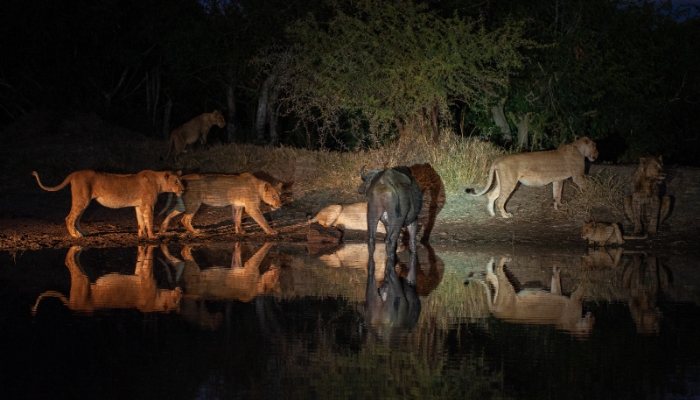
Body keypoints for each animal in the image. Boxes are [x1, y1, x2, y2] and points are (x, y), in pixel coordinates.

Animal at [31, 168, 185, 238]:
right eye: (176, 182)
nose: (183, 189)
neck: (158, 182)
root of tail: (74, 173)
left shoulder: (139, 205)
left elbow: (141, 222)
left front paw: (141, 235)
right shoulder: (148, 205)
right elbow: (150, 221)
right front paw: (152, 237)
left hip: (84, 201)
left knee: (77, 218)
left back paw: (82, 232)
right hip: (82, 200)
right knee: (69, 217)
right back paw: (75, 235)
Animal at [31, 245, 182, 314]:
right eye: (175, 301)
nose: (180, 291)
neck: (158, 298)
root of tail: (72, 305)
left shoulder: (141, 275)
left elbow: (141, 261)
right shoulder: (147, 279)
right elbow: (147, 261)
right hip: (83, 283)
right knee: (69, 262)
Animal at [462, 136, 600, 217]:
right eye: (595, 146)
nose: (598, 154)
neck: (579, 149)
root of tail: (499, 159)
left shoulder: (558, 179)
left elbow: (557, 194)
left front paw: (558, 206)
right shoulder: (578, 176)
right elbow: (588, 185)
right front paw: (593, 193)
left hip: (503, 182)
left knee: (491, 195)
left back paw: (492, 214)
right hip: (510, 182)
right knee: (500, 200)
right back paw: (506, 215)